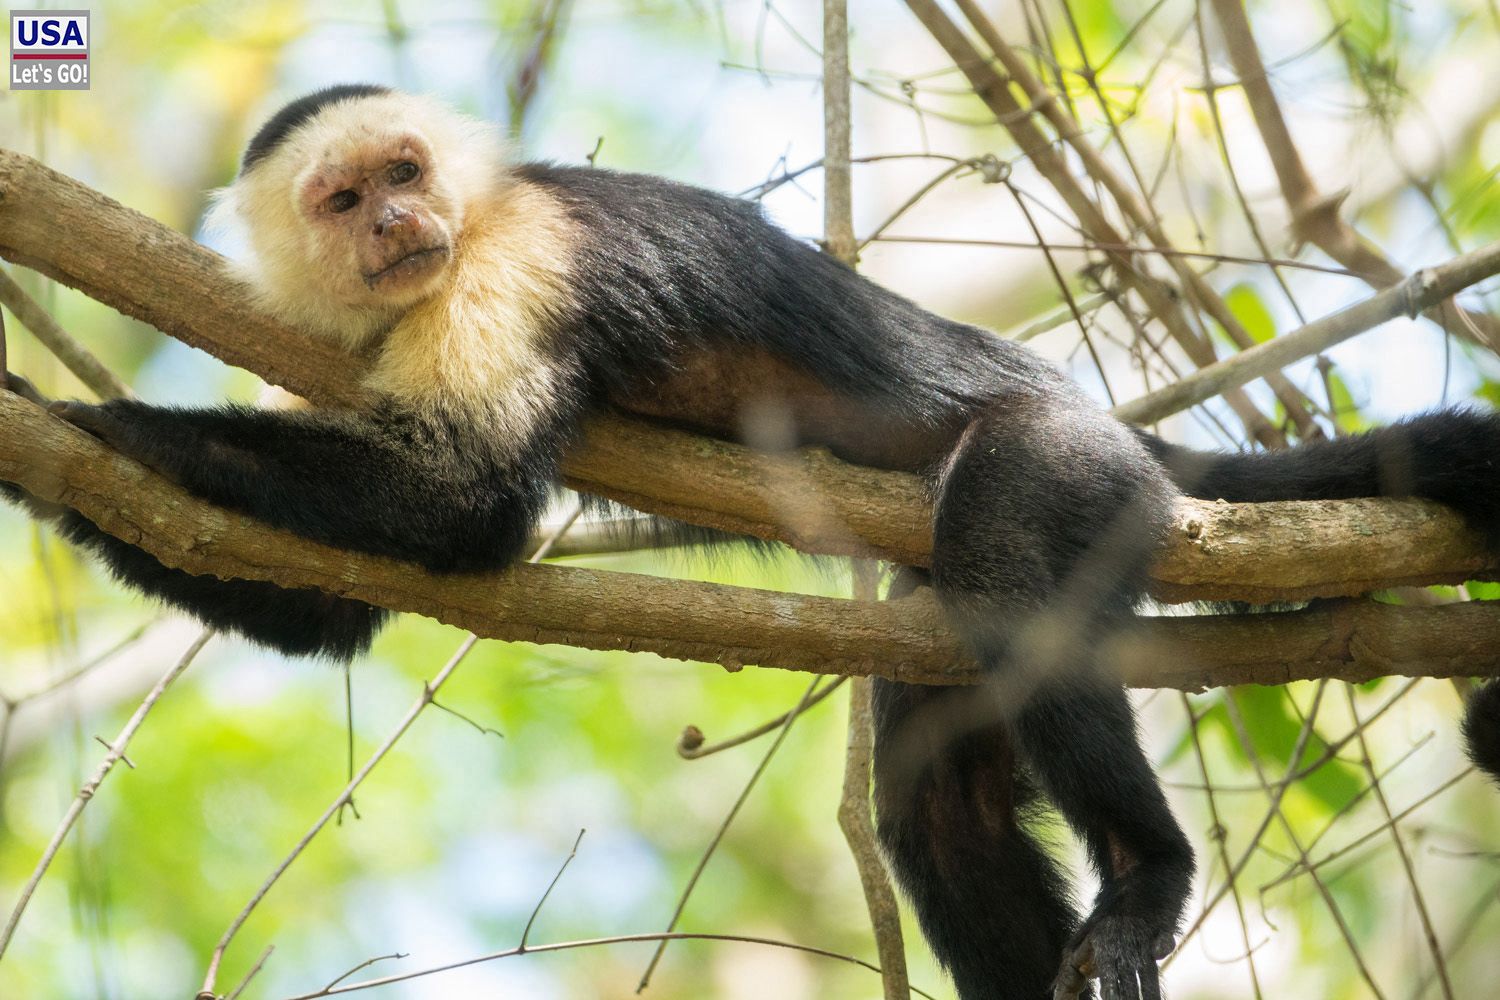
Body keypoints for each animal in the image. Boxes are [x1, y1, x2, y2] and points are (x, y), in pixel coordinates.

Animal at [8, 86, 1500, 1000]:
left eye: (406, 171)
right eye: (340, 200)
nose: (394, 222)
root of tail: (1115, 423)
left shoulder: (509, 261)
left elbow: (465, 505)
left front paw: (87, 418)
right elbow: (344, 606)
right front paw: (49, 452)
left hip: (1068, 464)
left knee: (1008, 581)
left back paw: (1148, 874)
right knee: (936, 800)